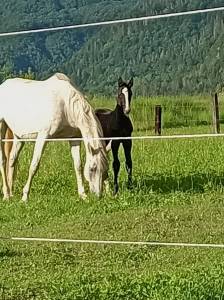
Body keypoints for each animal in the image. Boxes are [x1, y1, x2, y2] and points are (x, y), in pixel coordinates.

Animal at [0, 72, 108, 202]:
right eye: (92, 169)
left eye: (105, 170)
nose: (98, 196)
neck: (65, 105)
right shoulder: (43, 136)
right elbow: (34, 165)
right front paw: (25, 197)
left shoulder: (74, 139)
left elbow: (78, 165)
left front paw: (82, 195)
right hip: (1, 126)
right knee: (3, 160)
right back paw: (6, 195)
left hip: (19, 137)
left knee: (12, 159)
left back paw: (10, 194)